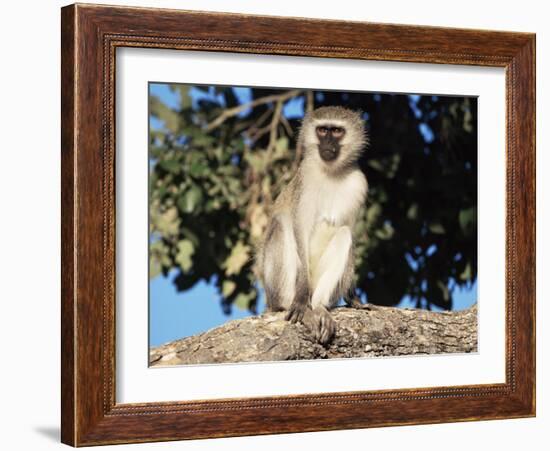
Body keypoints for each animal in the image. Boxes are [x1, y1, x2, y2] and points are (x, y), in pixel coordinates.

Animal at [258, 107, 370, 346]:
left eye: (336, 131)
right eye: (322, 130)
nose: (327, 144)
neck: (331, 173)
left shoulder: (359, 184)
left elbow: (350, 231)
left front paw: (353, 297)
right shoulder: (306, 180)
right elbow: (299, 229)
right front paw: (300, 301)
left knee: (344, 234)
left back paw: (319, 308)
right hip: (277, 290)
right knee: (282, 224)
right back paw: (297, 306)